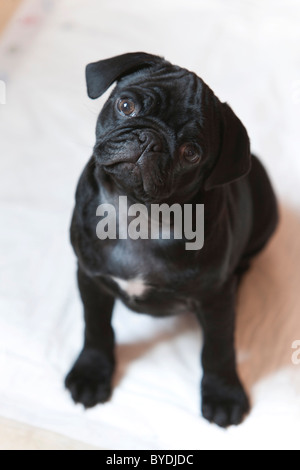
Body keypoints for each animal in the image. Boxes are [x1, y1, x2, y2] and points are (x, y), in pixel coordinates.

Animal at [64, 53, 278, 428]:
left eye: (191, 153)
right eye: (126, 106)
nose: (149, 140)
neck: (138, 215)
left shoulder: (216, 300)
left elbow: (219, 350)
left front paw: (223, 394)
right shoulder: (91, 278)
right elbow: (96, 328)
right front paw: (91, 372)